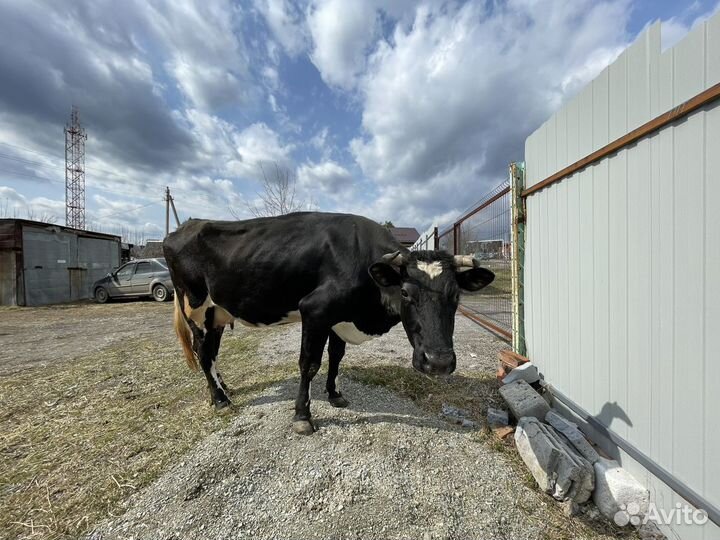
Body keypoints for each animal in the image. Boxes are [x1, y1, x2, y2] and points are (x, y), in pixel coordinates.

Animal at [163, 212, 494, 435]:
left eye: (456, 295)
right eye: (405, 292)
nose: (438, 362)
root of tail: (183, 228)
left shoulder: (340, 318)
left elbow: (336, 357)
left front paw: (334, 394)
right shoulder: (315, 310)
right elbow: (309, 364)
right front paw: (302, 417)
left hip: (218, 313)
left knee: (212, 352)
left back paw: (222, 387)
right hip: (196, 307)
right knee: (203, 352)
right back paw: (220, 399)